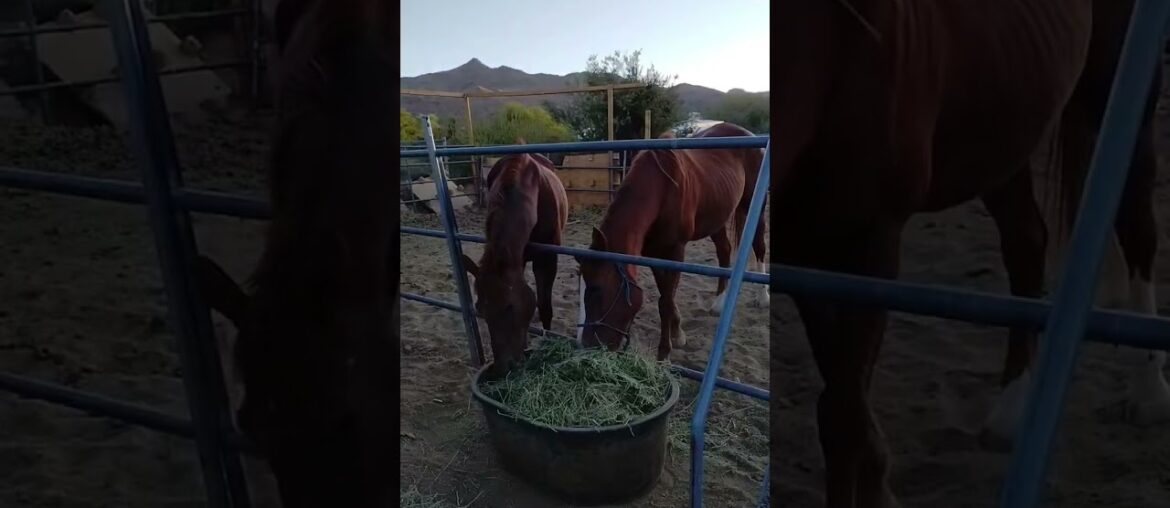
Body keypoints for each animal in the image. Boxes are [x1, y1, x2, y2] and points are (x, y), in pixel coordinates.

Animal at [576, 122, 767, 361]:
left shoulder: (676, 251)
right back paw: (719, 303)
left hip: (754, 206)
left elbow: (665, 301)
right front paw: (678, 334)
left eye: (597, 289)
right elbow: (666, 295)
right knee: (724, 251)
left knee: (759, 247)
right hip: (717, 216)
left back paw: (763, 297)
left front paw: (664, 352)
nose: (586, 347)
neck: (662, 190)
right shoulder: (653, 253)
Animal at [777, 1, 1169, 506]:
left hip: (1116, 96)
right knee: (1027, 243)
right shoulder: (803, 252)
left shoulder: (871, 242)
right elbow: (843, 400)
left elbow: (843, 412)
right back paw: (1013, 412)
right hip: (1007, 131)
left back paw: (1149, 391)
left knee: (1138, 229)